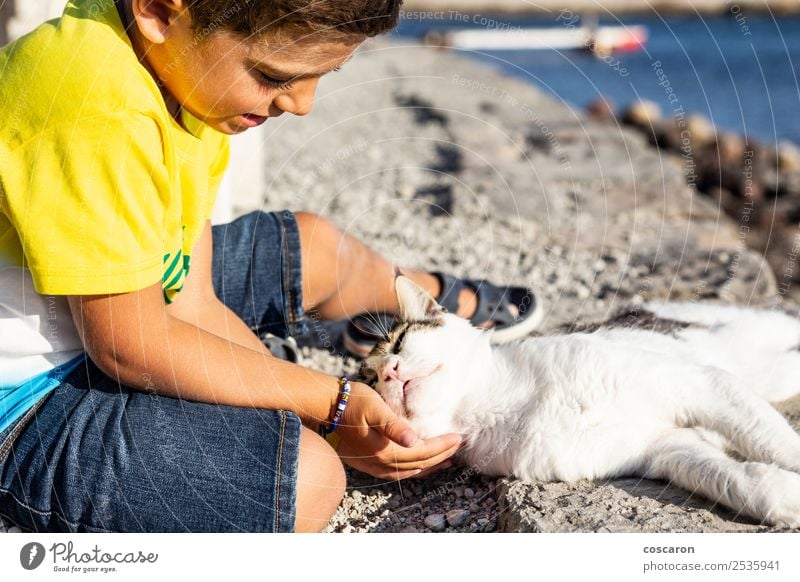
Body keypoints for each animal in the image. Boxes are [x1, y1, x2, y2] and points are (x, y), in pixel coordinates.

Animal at [366, 278, 800, 528]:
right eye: (372, 384)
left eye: (400, 342)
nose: (389, 372)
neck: (498, 401)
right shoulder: (668, 450)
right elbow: (742, 481)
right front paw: (786, 496)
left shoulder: (699, 384)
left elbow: (778, 445)